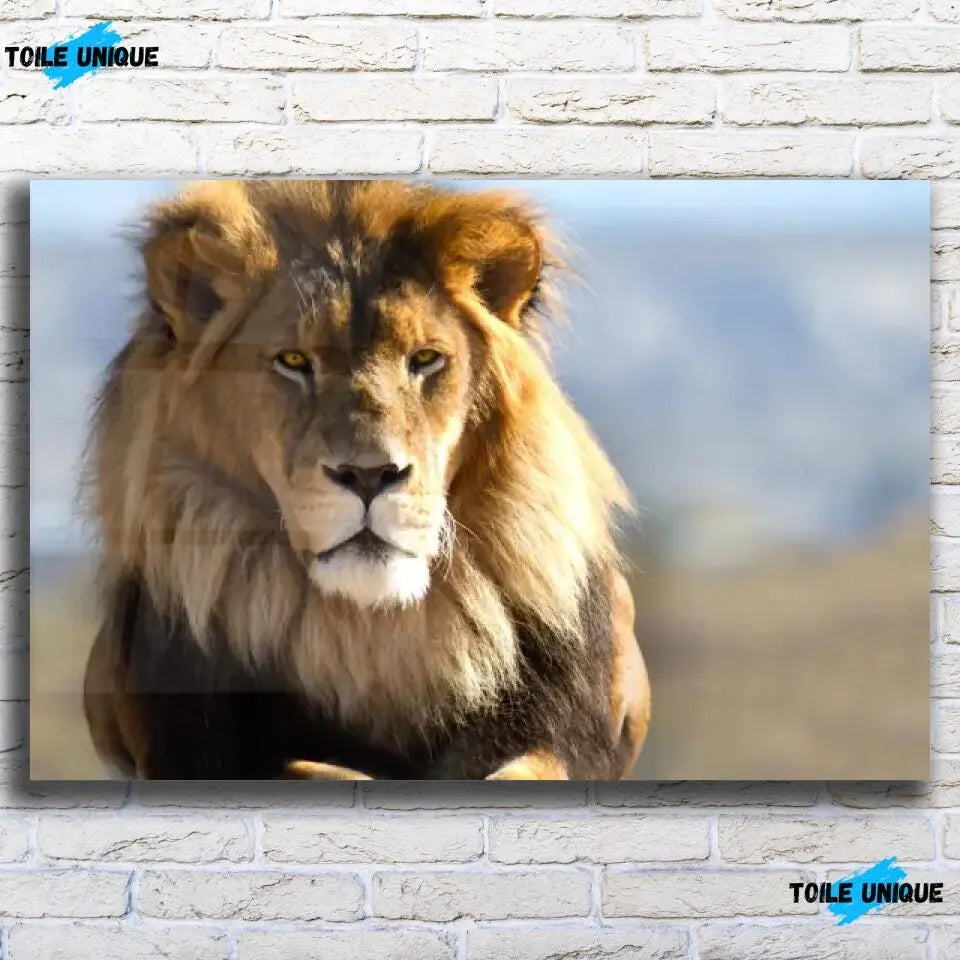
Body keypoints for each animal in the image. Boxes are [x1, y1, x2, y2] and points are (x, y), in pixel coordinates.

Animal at [82, 179, 651, 780]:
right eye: (293, 360)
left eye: (425, 359)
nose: (370, 474)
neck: (373, 631)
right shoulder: (195, 748)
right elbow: (306, 768)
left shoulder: (565, 728)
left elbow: (530, 768)